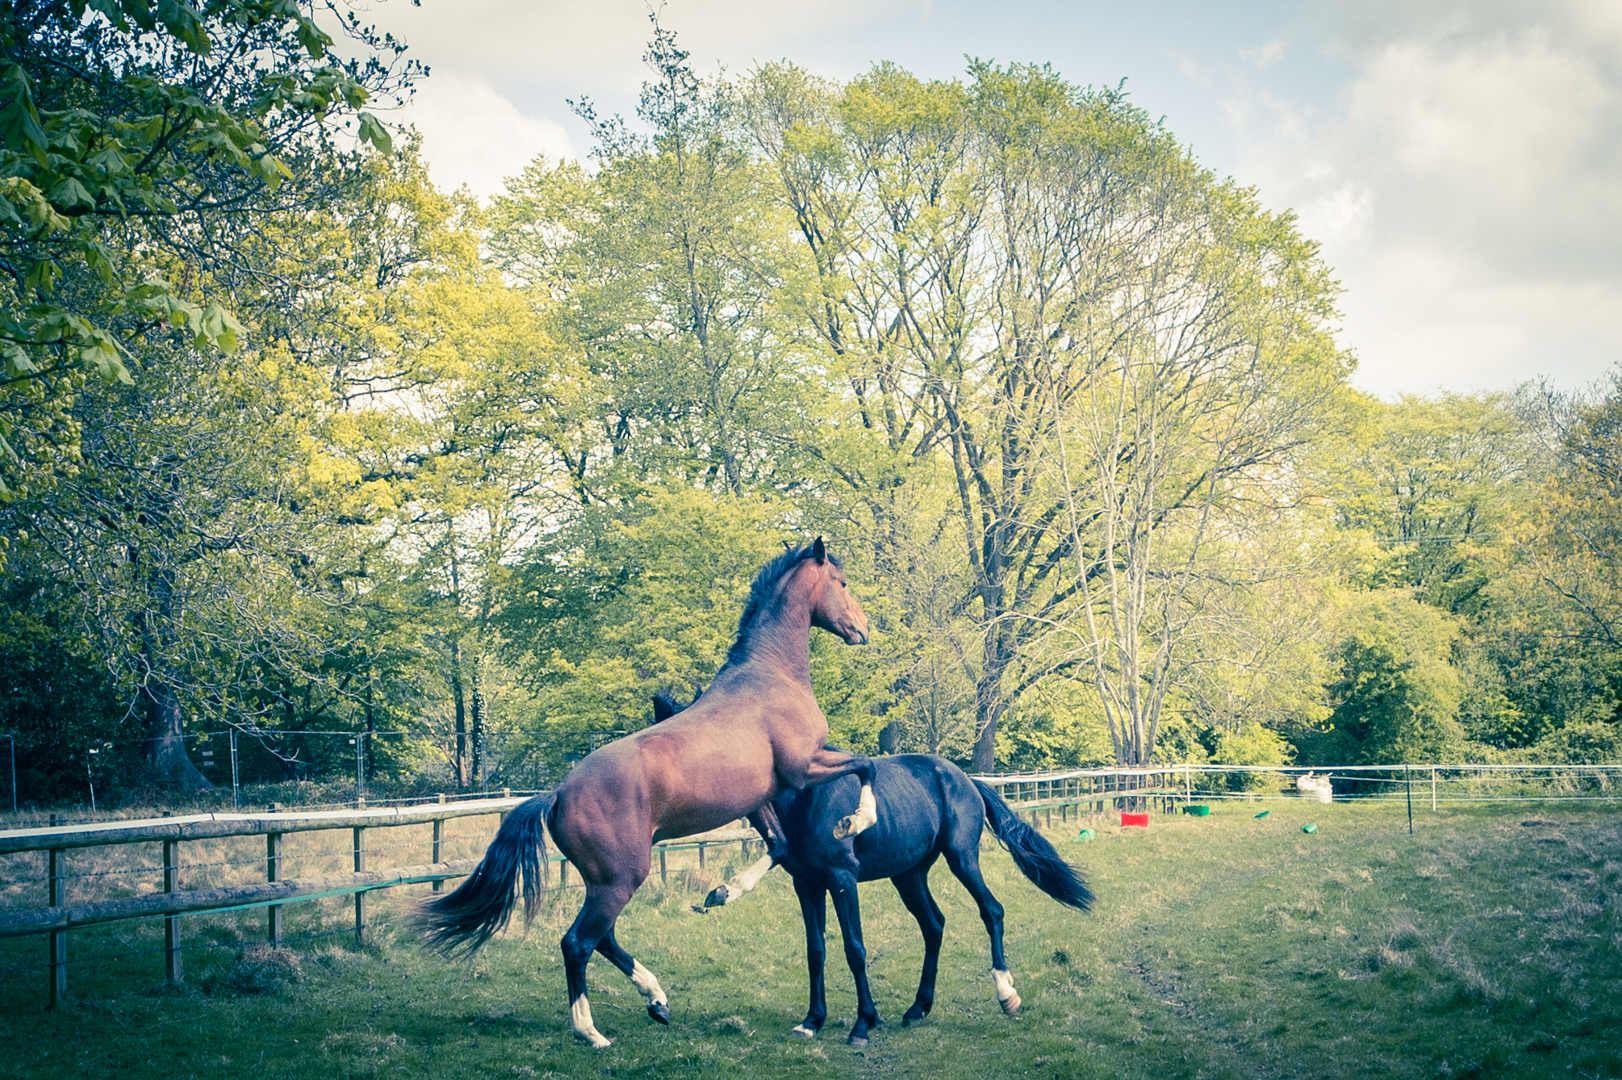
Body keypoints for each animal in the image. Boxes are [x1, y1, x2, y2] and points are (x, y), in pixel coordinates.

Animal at [415, 538, 875, 1044]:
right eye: (842, 583)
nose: (863, 628)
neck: (770, 677)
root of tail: (556, 796)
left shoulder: (761, 798)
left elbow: (778, 845)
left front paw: (723, 893)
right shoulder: (804, 766)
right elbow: (865, 764)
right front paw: (854, 821)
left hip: (606, 879)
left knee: (604, 938)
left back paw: (656, 999)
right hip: (621, 878)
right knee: (578, 942)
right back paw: (591, 1032)